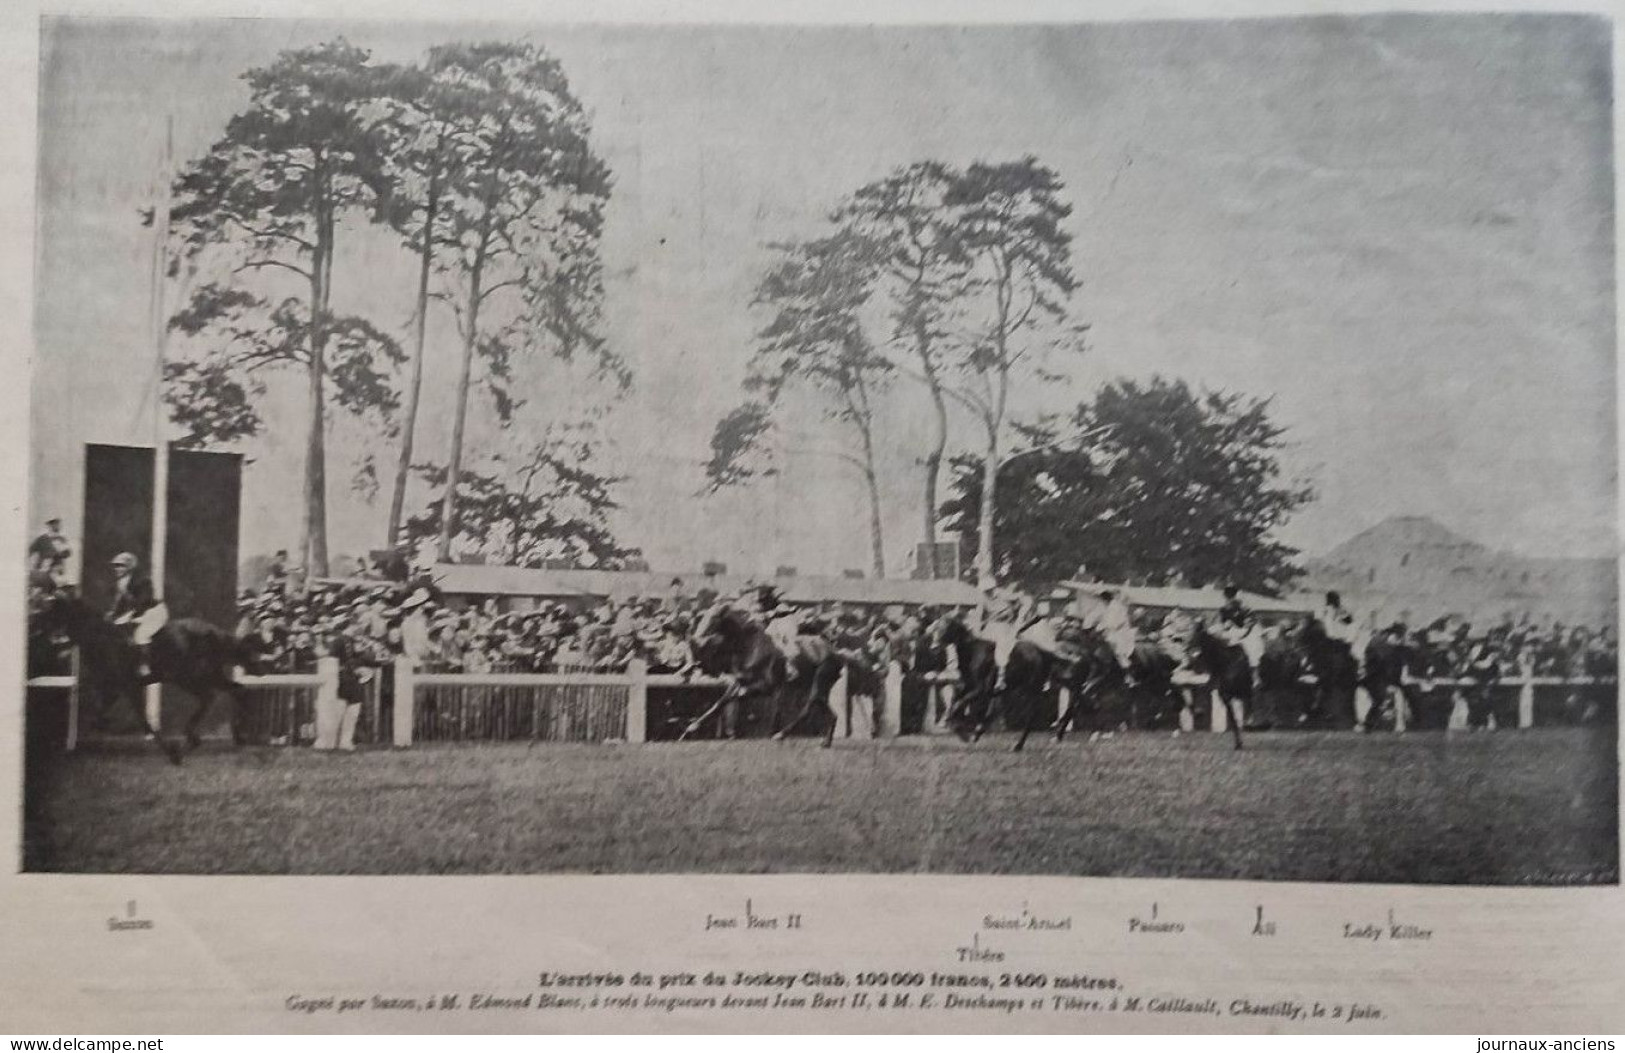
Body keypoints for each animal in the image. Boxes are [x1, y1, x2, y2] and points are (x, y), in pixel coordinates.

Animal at [29, 588, 247, 760]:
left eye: (50, 609)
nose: (35, 628)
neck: (102, 640)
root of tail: (213, 631)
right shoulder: (112, 688)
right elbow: (99, 715)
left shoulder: (127, 687)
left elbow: (144, 721)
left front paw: (172, 752)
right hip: (204, 675)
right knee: (233, 690)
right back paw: (229, 736)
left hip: (189, 677)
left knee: (210, 696)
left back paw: (197, 737)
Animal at [679, 604, 845, 744]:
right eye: (703, 617)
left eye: (714, 618)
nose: (698, 636)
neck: (750, 648)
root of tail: (836, 653)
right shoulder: (739, 682)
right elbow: (721, 701)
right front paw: (691, 728)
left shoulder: (767, 686)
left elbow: (739, 695)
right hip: (817, 686)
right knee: (828, 711)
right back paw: (825, 741)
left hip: (819, 681)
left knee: (808, 708)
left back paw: (781, 734)